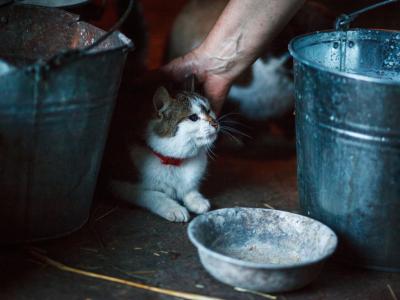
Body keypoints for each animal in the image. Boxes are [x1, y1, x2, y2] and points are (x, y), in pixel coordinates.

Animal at [109, 85, 219, 221]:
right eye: (193, 117)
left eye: (209, 111)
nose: (215, 123)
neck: (174, 162)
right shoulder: (120, 184)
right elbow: (153, 194)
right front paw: (173, 207)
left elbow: (189, 188)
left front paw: (196, 200)